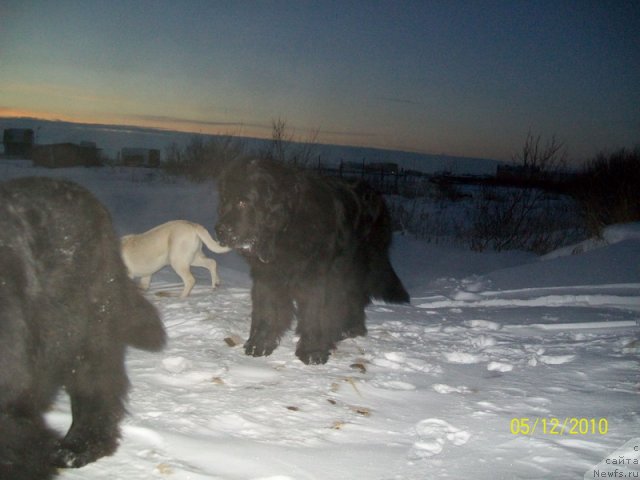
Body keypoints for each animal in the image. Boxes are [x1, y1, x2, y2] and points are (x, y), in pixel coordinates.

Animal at [218, 158, 410, 364]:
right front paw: (259, 344)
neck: (287, 227)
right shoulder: (268, 274)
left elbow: (315, 313)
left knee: (354, 297)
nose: (219, 230)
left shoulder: (317, 277)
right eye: (224, 200)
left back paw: (350, 329)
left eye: (242, 202)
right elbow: (267, 309)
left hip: (356, 265)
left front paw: (312, 351)